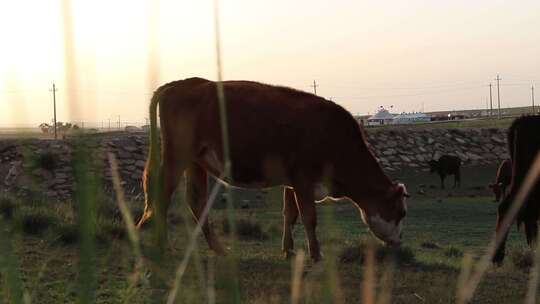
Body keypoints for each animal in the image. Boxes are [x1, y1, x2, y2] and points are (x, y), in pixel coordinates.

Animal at [136, 77, 410, 260]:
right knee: (163, 194)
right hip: (176, 156)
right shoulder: (303, 178)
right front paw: (316, 254)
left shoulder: (292, 181)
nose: (399, 242)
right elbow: (309, 217)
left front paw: (288, 249)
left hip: (196, 162)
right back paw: (162, 245)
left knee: (196, 200)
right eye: (402, 212)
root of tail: (181, 84)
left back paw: (218, 248)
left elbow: (289, 214)